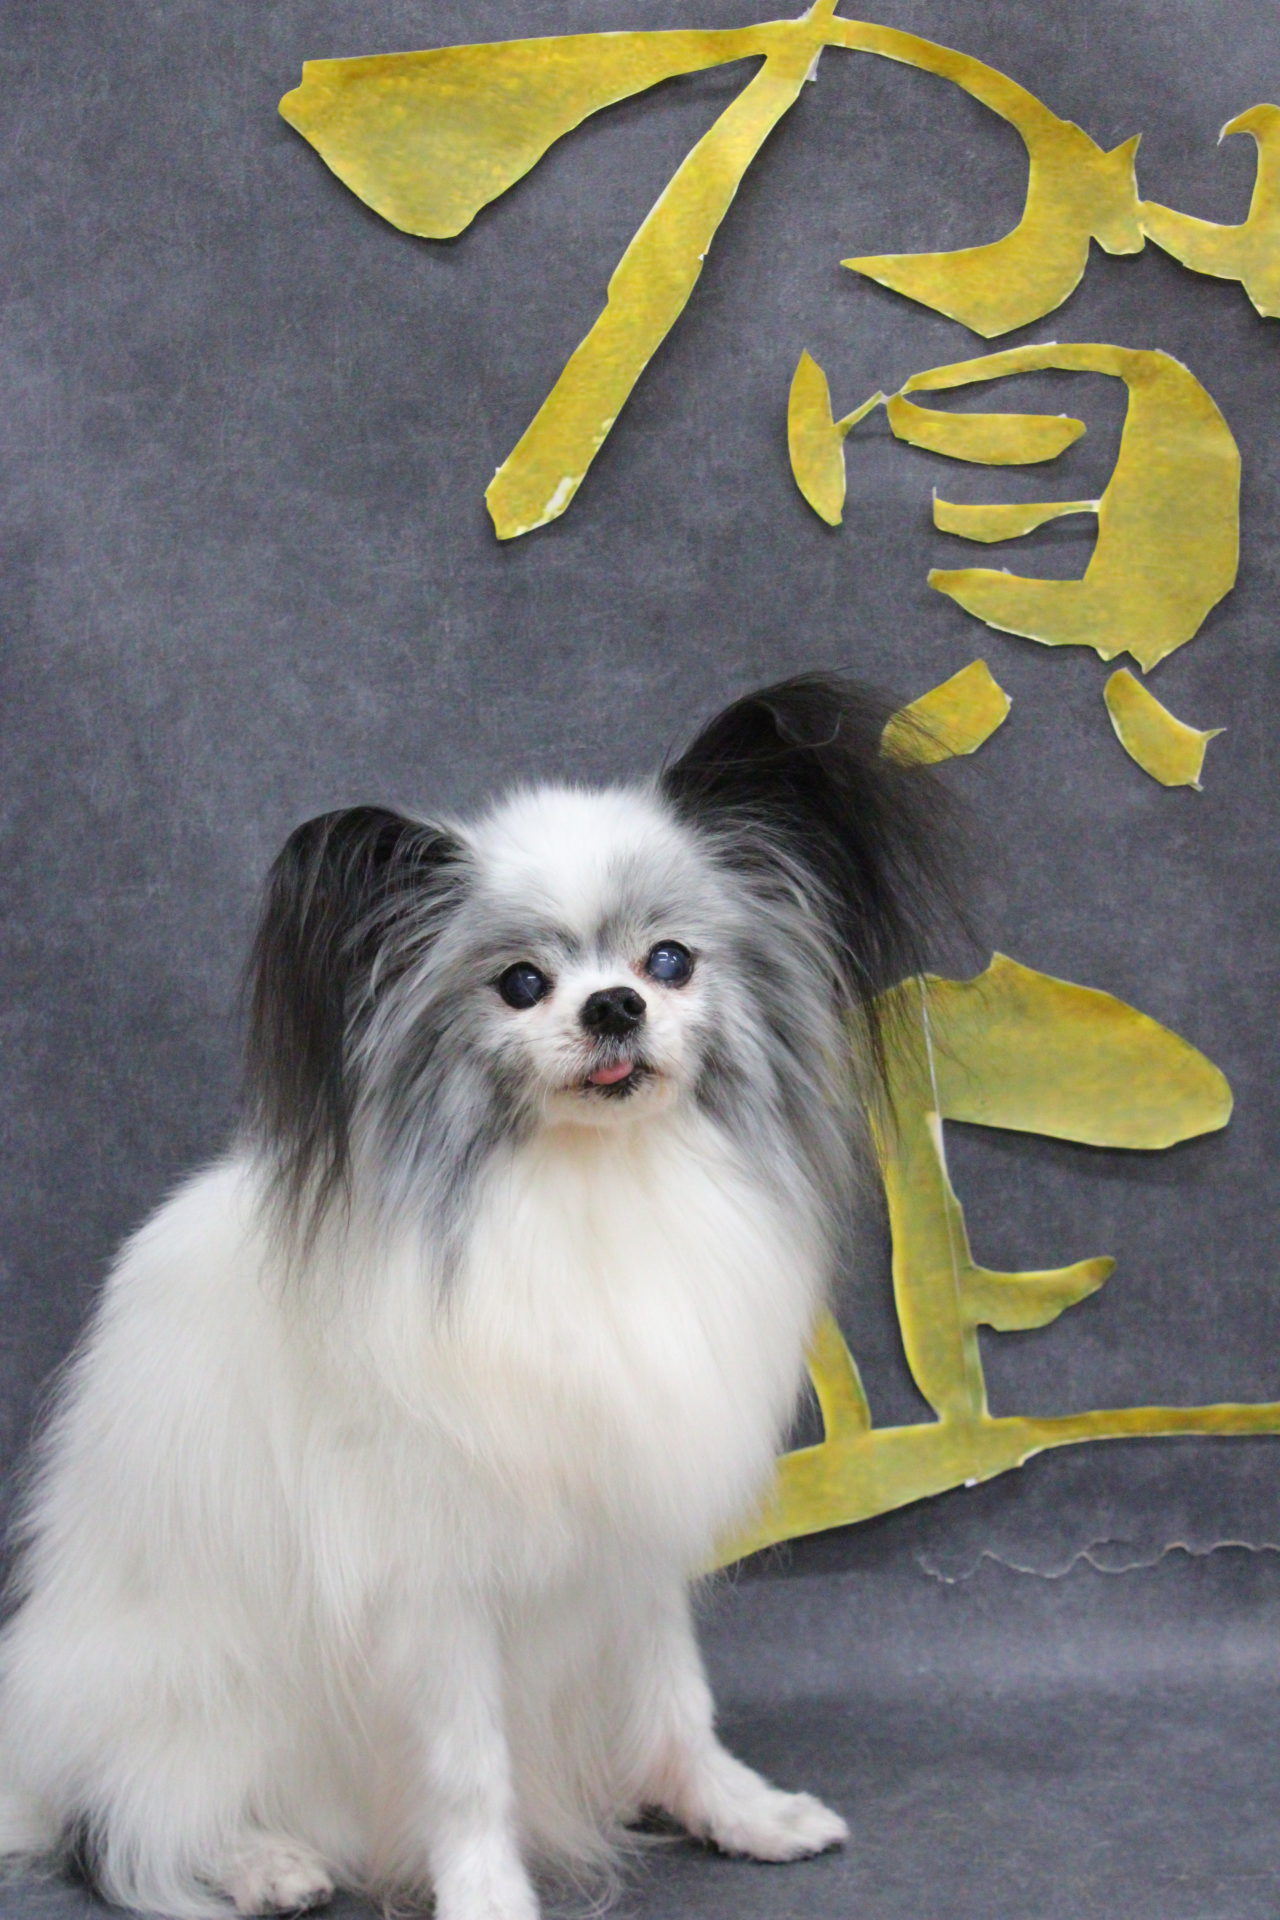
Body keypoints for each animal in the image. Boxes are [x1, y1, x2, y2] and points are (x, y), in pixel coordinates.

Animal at [0, 674, 948, 1919]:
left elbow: (675, 1700)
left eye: (670, 962)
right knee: (115, 1818)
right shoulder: (433, 1584)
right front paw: (488, 1894)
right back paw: (263, 1862)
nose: (611, 1007)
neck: (591, 1188)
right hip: (190, 1686)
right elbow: (467, 1768)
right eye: (521, 984)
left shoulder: (628, 1536)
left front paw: (733, 1812)